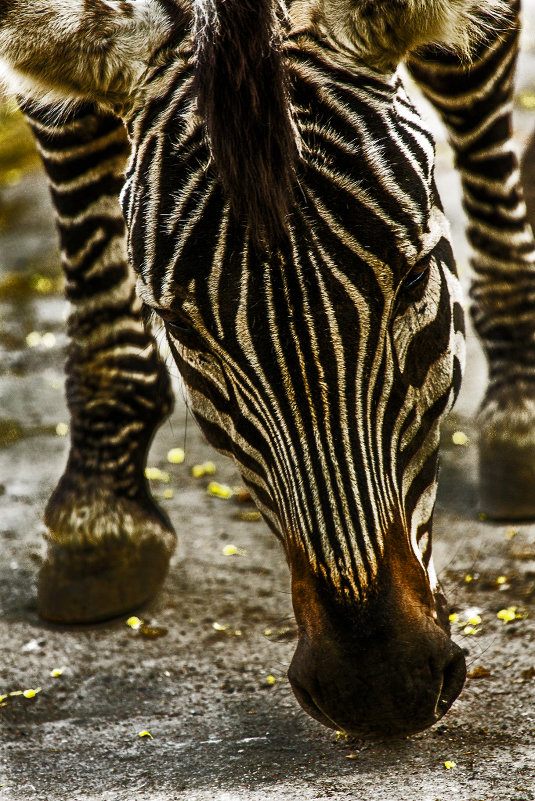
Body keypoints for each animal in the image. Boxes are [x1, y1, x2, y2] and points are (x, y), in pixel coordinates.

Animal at [0, 0, 528, 736]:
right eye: (181, 328)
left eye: (419, 275)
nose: (378, 687)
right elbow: (70, 129)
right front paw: (100, 509)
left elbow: (473, 66)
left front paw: (518, 405)